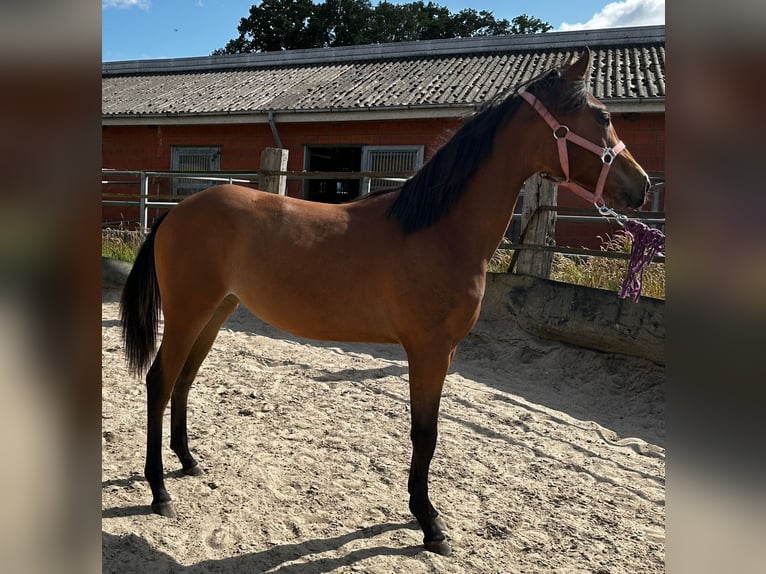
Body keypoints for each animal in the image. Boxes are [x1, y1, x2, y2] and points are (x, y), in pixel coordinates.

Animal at [120, 47, 650, 556]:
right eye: (603, 116)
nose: (641, 187)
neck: (437, 231)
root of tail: (175, 213)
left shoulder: (441, 352)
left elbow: (427, 431)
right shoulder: (430, 351)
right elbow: (425, 433)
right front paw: (429, 523)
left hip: (215, 312)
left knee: (184, 380)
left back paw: (188, 462)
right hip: (189, 313)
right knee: (160, 381)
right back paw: (159, 491)